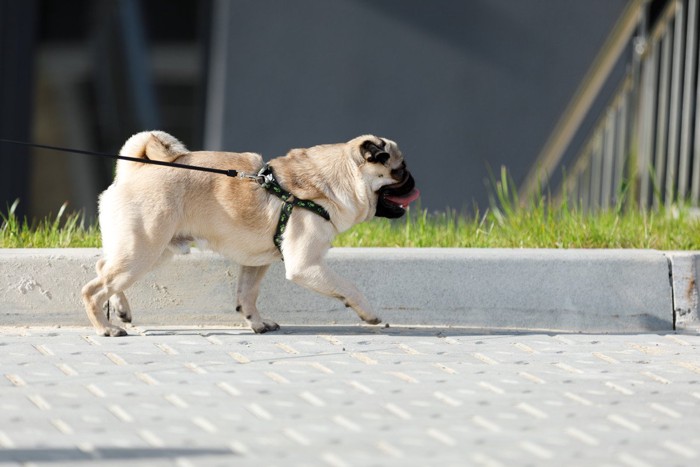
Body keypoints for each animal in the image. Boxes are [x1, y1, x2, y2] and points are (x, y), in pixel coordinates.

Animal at [82, 132, 422, 336]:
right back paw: (106, 328)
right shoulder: (306, 265)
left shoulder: (256, 262)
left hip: (152, 250)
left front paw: (256, 323)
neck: (331, 180)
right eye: (399, 170)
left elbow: (247, 295)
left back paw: (121, 310)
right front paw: (370, 315)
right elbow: (350, 288)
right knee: (93, 288)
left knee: (104, 269)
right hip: (143, 249)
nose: (414, 180)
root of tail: (134, 170)